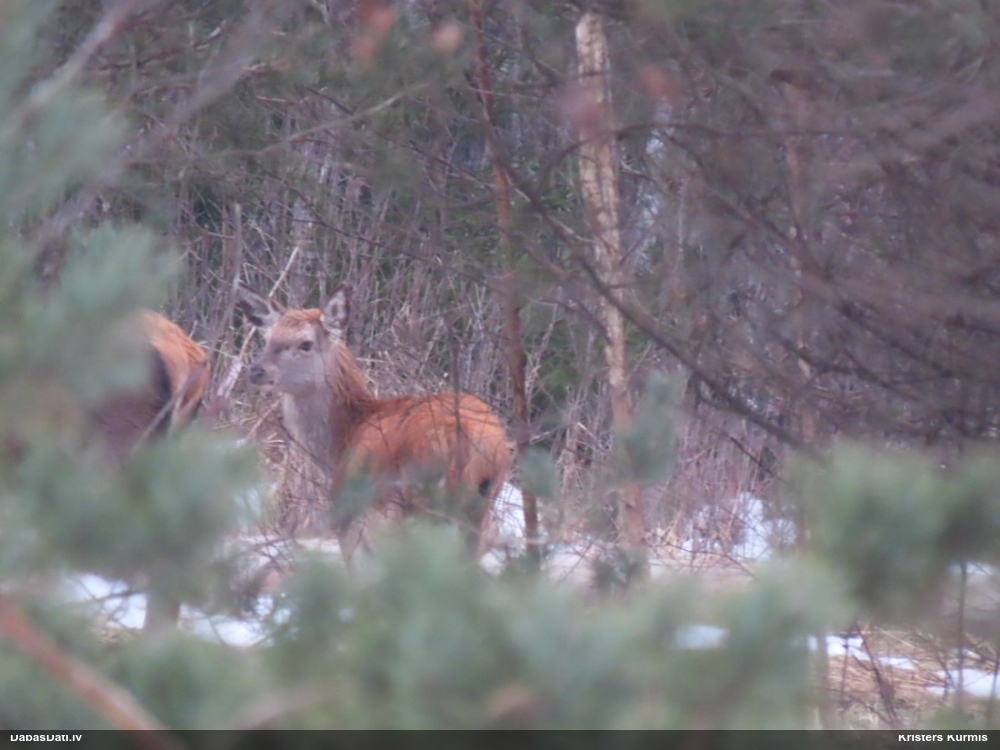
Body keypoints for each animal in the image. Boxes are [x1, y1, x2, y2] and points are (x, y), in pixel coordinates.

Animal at [237, 285, 512, 561]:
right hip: (479, 508)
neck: (342, 438)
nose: (255, 371)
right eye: (267, 338)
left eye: (306, 343)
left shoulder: (351, 513)